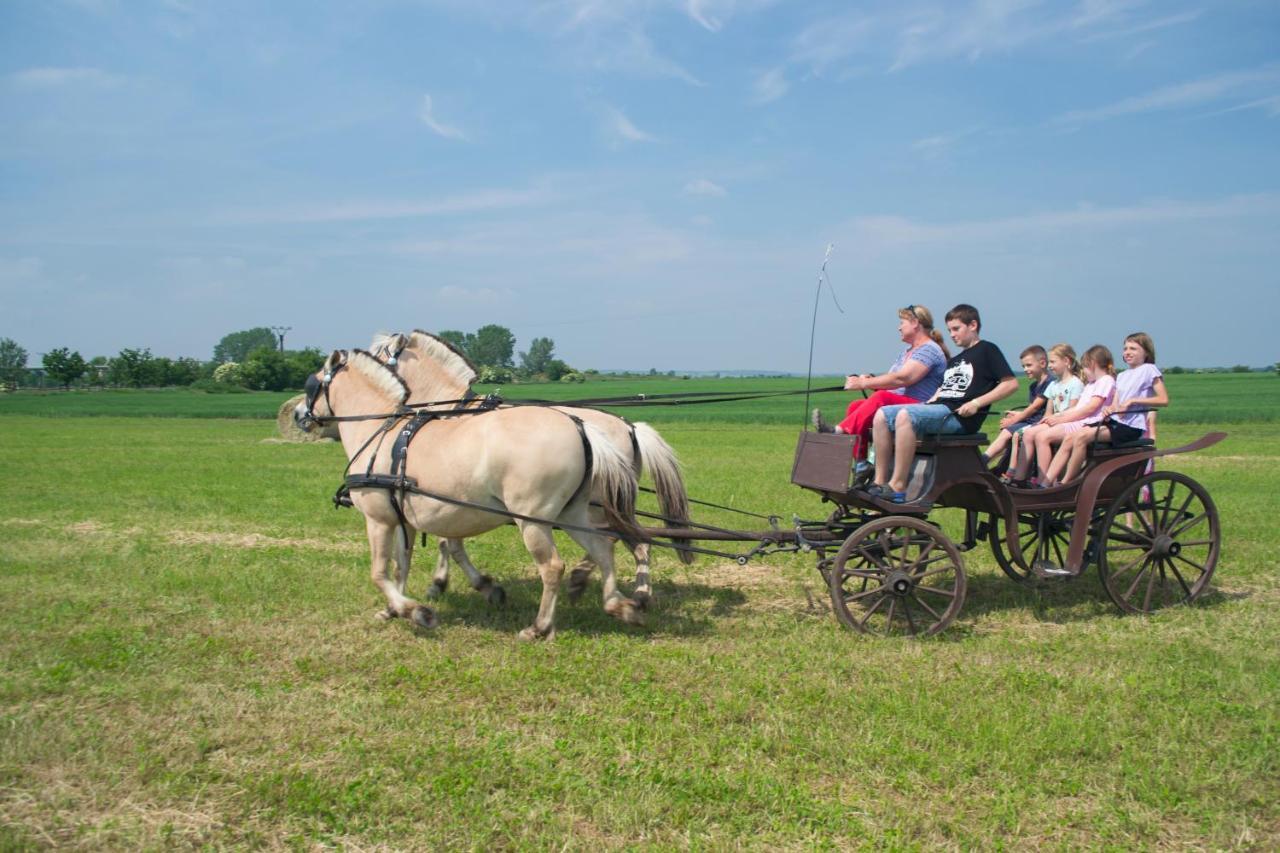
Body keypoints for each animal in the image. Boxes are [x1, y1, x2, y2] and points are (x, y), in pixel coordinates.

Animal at [294, 348, 645, 637]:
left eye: (313, 384)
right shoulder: (406, 518)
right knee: (604, 548)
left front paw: (418, 610)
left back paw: (541, 626)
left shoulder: (379, 519)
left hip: (534, 520)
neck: (383, 432)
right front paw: (396, 608)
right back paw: (618, 603)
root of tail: (582, 427)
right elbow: (403, 564)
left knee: (554, 567)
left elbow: (380, 573)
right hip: (573, 512)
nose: (297, 414)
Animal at [371, 327, 691, 607]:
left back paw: (591, 582)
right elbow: (448, 539)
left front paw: (443, 584)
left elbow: (446, 540)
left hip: (598, 506)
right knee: (631, 541)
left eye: (378, 355)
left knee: (614, 539)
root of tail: (629, 428)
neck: (456, 411)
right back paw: (628, 591)